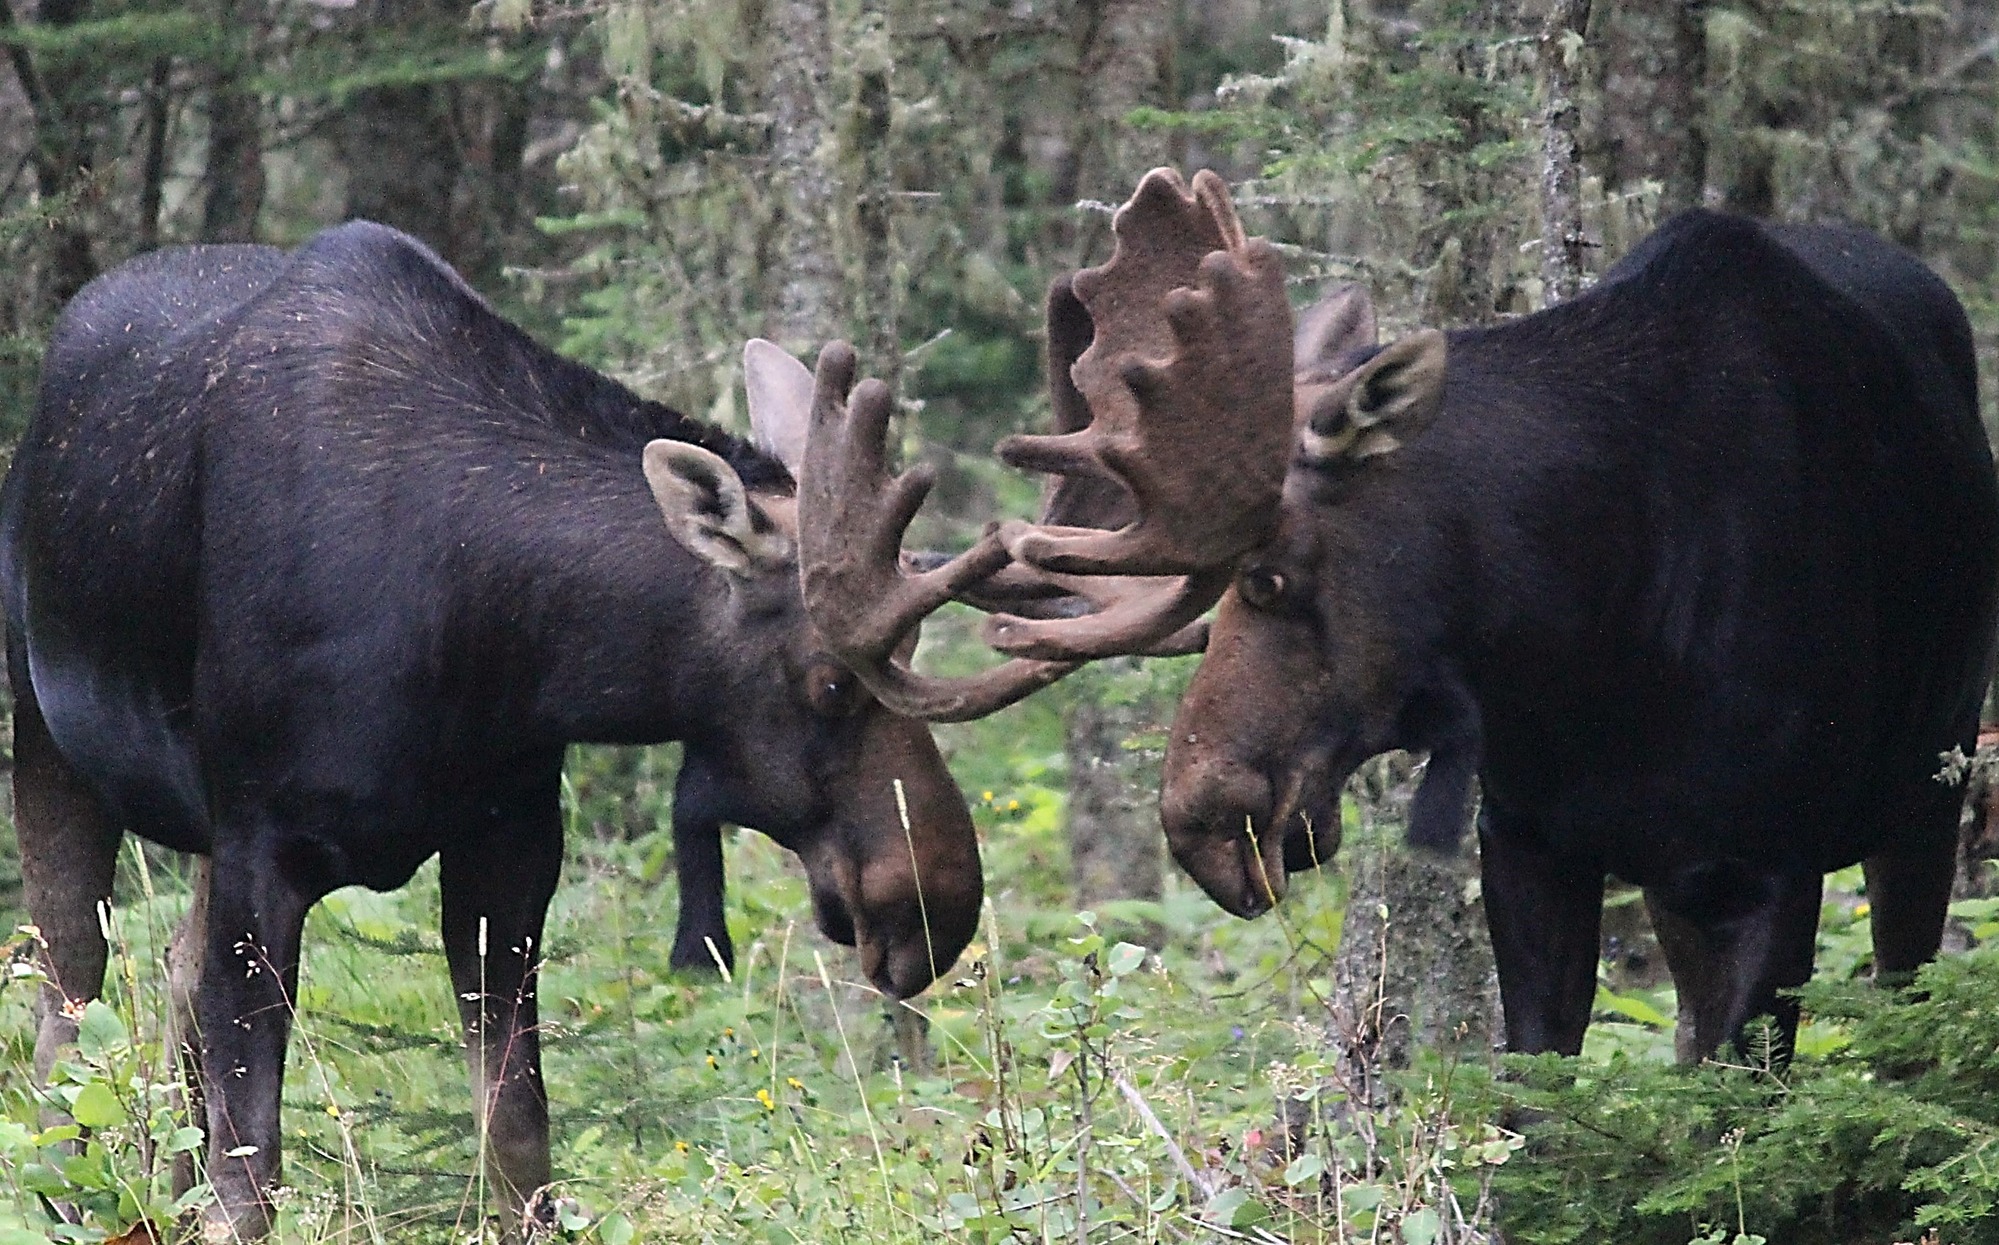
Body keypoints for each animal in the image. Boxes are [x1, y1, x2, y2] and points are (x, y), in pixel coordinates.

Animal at [0, 226, 991, 1239]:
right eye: (830, 681)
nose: (936, 906)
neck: (486, 629)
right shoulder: (261, 842)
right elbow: (252, 1171)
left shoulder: (509, 839)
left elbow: (517, 1142)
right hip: (48, 737)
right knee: (65, 994)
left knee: (170, 975)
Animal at [795, 162, 1999, 1063]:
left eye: (1271, 577)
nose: (1200, 821)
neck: (1595, 646)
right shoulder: (1531, 843)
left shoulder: (1772, 862)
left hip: (1927, 789)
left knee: (1900, 988)